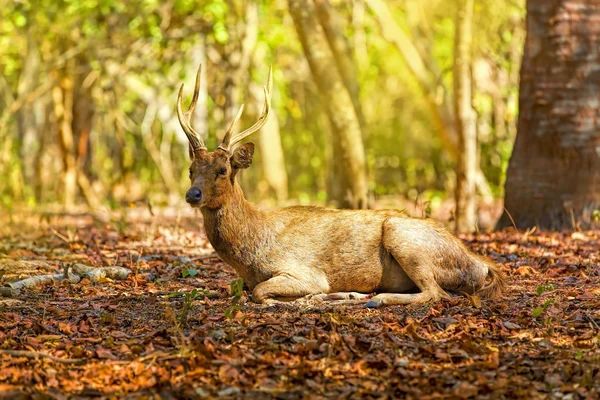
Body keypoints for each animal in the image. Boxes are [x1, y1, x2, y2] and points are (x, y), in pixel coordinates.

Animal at [176, 66, 504, 310]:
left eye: (222, 170)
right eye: (191, 170)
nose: (192, 194)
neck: (250, 252)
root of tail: (482, 265)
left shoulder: (305, 271)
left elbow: (260, 293)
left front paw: (312, 298)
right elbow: (239, 289)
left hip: (402, 235)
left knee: (436, 293)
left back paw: (374, 299)